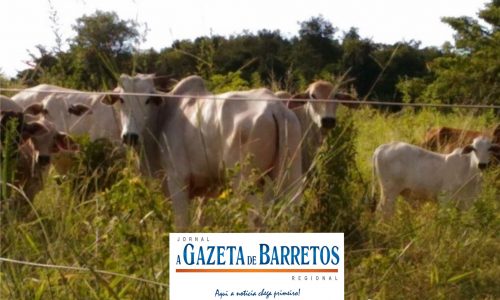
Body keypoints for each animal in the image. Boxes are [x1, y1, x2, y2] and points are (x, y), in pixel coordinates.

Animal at [102, 74, 300, 229]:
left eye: (148, 99)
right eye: (122, 99)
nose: (130, 136)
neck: (163, 117)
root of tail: (276, 107)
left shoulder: (177, 182)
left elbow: (182, 225)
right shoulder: (207, 187)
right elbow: (201, 221)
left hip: (245, 182)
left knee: (256, 220)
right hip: (289, 177)